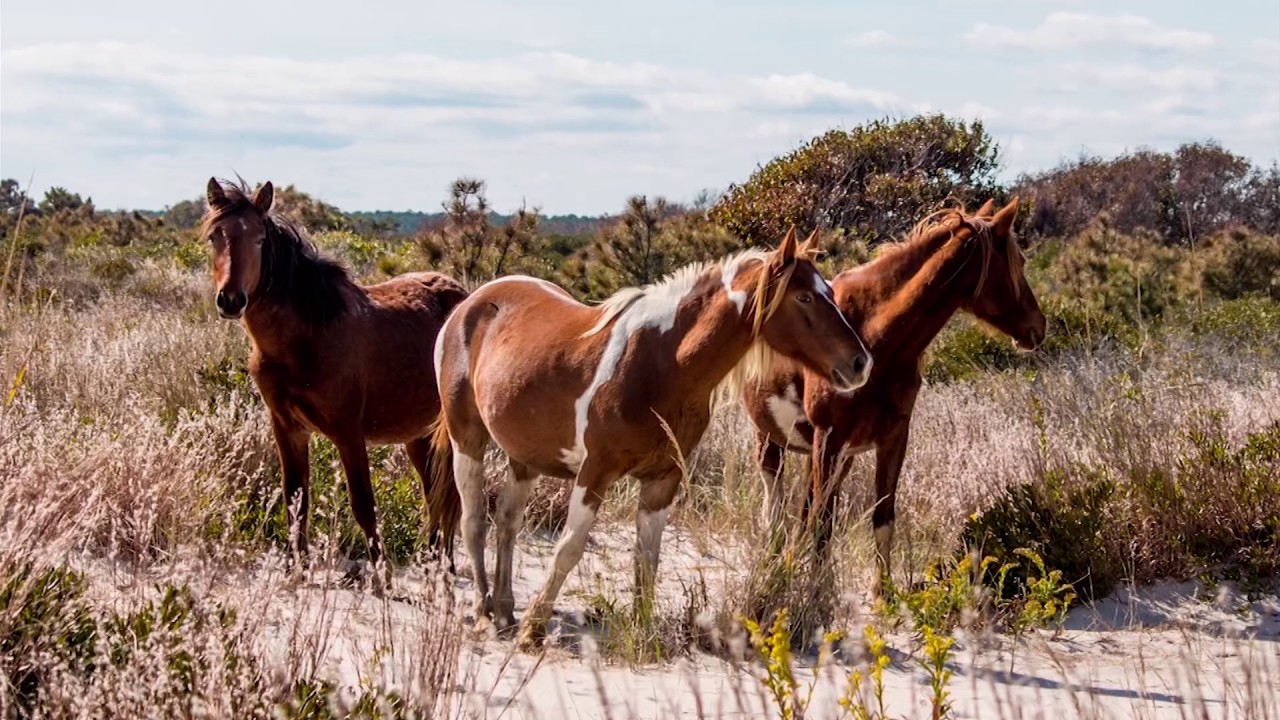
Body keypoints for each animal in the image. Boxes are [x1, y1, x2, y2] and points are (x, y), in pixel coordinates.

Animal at [201, 177, 466, 585]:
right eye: (216, 236)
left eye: (260, 239)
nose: (231, 299)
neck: (305, 338)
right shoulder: (287, 428)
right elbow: (295, 499)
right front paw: (295, 572)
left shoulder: (347, 432)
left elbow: (363, 505)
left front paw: (382, 579)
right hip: (418, 435)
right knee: (433, 493)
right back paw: (435, 564)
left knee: (450, 496)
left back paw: (445, 571)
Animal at [426, 227, 874, 650]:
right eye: (804, 297)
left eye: (828, 292)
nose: (860, 363)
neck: (661, 365)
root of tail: (470, 303)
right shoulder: (596, 472)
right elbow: (569, 548)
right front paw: (534, 630)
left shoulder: (663, 480)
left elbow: (647, 561)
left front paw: (641, 634)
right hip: (467, 439)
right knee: (473, 522)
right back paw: (484, 612)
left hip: (524, 457)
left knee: (506, 521)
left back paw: (504, 610)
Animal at [740, 197, 1046, 598]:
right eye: (1018, 261)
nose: (1038, 328)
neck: (875, 337)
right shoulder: (829, 437)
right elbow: (823, 521)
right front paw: (819, 590)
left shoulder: (891, 436)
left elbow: (881, 516)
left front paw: (882, 592)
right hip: (771, 440)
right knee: (775, 506)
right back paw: (774, 564)